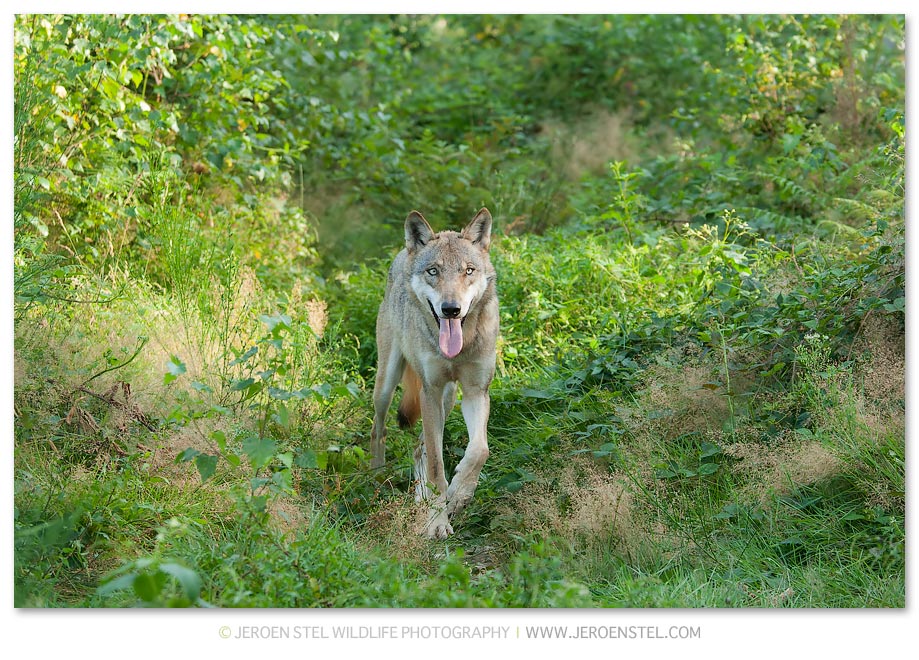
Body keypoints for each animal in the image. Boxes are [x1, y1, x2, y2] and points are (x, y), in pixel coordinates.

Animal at [370, 208, 499, 539]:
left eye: (468, 271)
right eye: (433, 271)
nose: (451, 309)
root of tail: (404, 253)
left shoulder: (476, 392)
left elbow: (479, 450)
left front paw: (459, 495)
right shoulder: (429, 392)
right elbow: (437, 468)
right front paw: (437, 521)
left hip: (449, 398)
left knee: (418, 449)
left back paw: (422, 500)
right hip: (387, 385)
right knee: (380, 429)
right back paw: (376, 477)